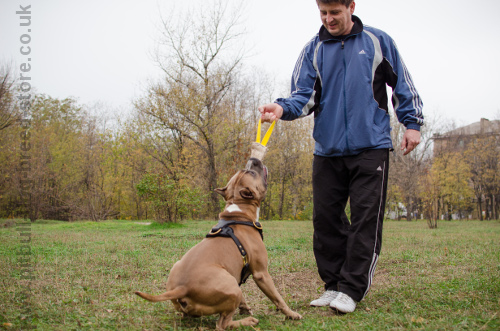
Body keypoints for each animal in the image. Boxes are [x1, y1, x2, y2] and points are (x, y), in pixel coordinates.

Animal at [135, 160, 302, 330]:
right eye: (251, 173)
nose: (253, 161)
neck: (239, 211)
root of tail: (182, 288)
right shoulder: (261, 273)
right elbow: (277, 298)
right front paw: (291, 314)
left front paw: (244, 308)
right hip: (231, 286)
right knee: (222, 324)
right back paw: (248, 322)